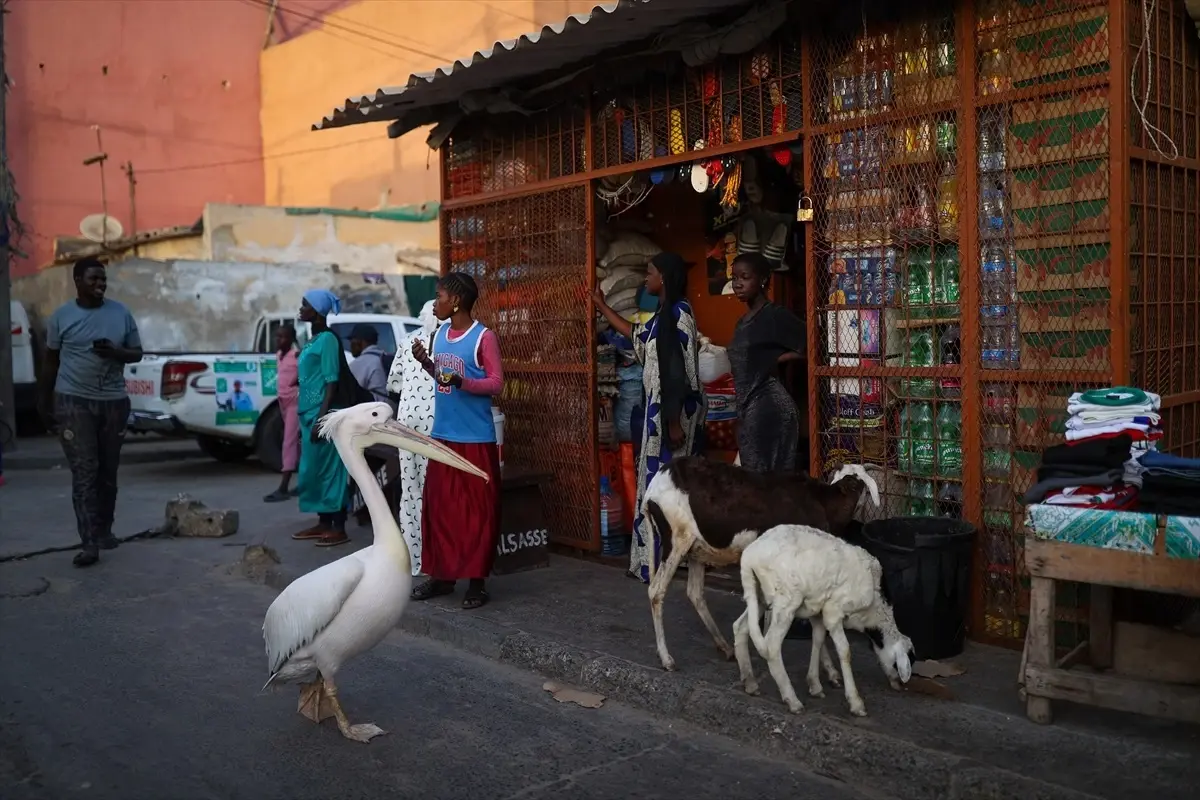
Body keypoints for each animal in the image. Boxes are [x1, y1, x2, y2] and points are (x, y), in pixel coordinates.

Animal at [643, 460, 878, 671]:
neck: (824, 504)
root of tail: (651, 490)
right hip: (677, 539)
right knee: (656, 591)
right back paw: (666, 658)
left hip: (696, 549)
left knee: (695, 593)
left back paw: (725, 647)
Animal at [724, 525, 912, 719]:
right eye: (899, 664)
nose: (899, 684)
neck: (875, 610)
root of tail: (750, 556)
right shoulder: (833, 611)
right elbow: (845, 651)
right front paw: (855, 702)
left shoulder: (819, 610)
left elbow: (818, 639)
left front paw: (815, 684)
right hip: (786, 600)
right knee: (771, 646)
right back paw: (792, 700)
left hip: (760, 595)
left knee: (740, 626)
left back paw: (750, 682)